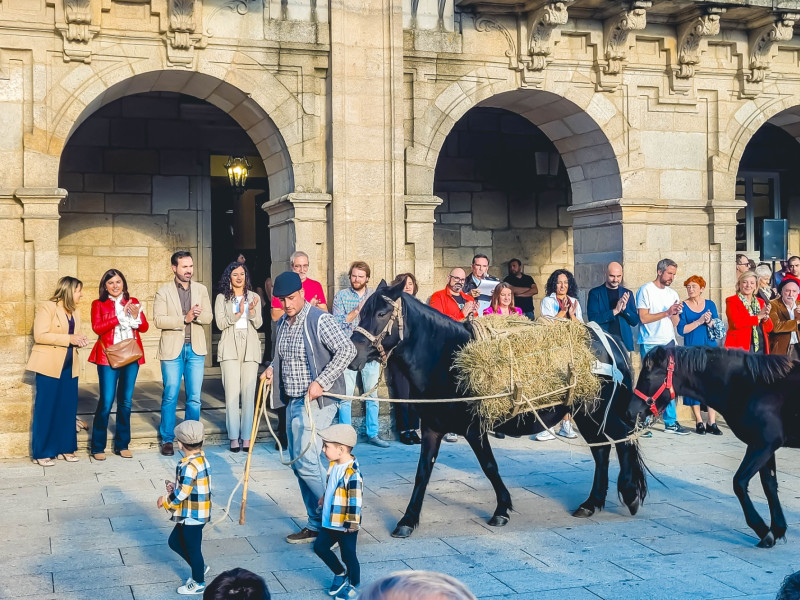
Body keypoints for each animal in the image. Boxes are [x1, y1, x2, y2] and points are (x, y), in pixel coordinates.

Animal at [350, 282, 648, 540]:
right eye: (361, 312)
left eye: (381, 313)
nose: (354, 354)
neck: (445, 357)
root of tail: (610, 340)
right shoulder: (432, 428)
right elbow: (422, 473)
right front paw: (408, 519)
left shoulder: (474, 428)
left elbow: (489, 466)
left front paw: (502, 508)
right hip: (585, 412)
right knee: (601, 449)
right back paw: (592, 502)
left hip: (598, 410)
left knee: (622, 441)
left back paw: (629, 493)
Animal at [628, 342, 796, 548]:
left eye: (648, 377)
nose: (631, 411)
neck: (750, 385)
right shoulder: (765, 446)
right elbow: (769, 485)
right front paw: (776, 529)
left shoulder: (763, 445)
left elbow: (739, 483)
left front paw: (762, 528)